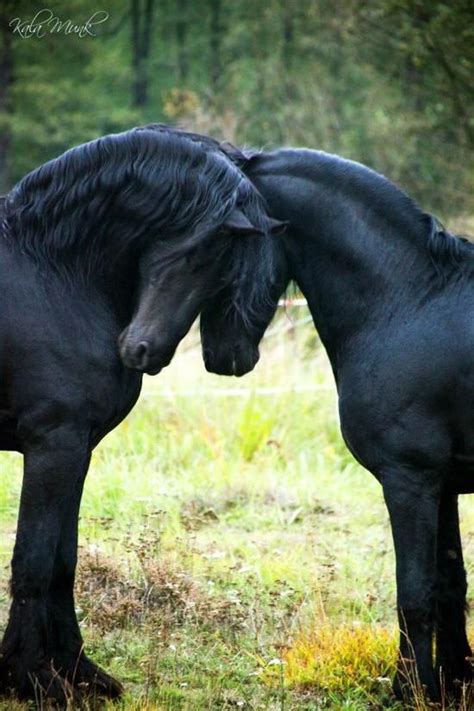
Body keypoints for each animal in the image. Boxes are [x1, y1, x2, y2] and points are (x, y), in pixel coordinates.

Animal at [0, 125, 278, 704]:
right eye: (202, 254)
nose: (143, 350)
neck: (51, 273)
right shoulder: (52, 445)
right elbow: (33, 562)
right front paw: (32, 679)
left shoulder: (77, 449)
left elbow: (62, 560)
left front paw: (80, 672)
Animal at [126, 131, 474, 704]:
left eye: (203, 251)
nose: (136, 346)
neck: (410, 302)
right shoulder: (442, 484)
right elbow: (450, 586)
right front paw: (452, 684)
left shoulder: (410, 480)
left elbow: (415, 593)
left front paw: (411, 691)